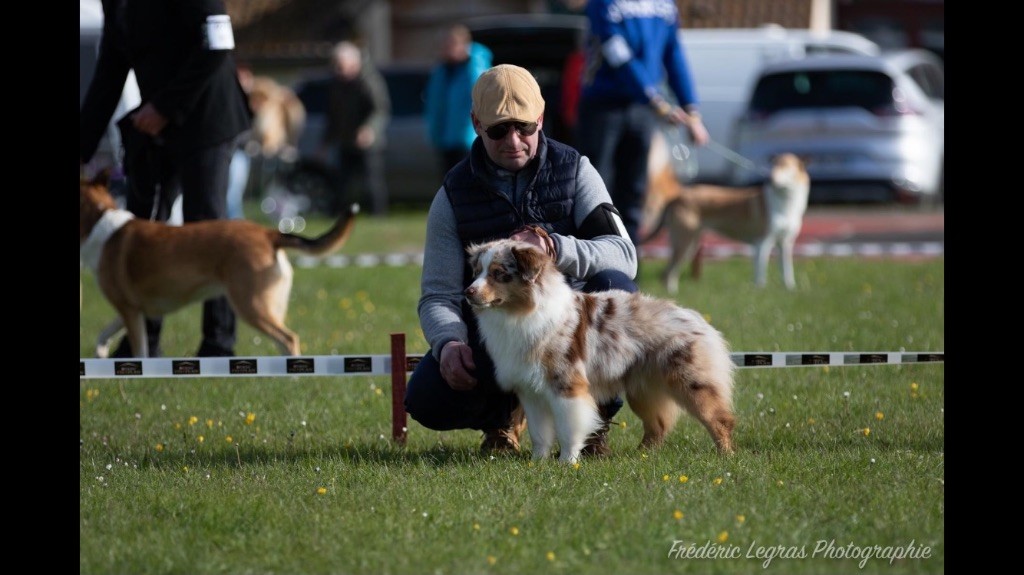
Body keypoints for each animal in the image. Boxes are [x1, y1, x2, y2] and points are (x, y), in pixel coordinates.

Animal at [76, 171, 356, 356]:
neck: (98, 224)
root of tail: (267, 233)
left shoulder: (129, 309)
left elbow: (140, 351)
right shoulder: (136, 308)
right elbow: (104, 334)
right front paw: (102, 352)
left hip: (250, 304)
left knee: (288, 338)